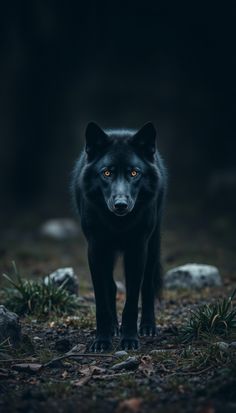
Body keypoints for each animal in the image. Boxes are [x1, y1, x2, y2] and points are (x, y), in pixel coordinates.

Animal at [71, 122, 166, 350]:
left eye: (134, 173)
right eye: (106, 173)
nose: (120, 204)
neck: (118, 224)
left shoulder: (137, 249)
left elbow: (131, 300)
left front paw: (130, 338)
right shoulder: (96, 249)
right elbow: (102, 299)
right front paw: (102, 340)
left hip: (152, 246)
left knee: (147, 285)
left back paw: (148, 327)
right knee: (112, 287)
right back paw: (114, 327)